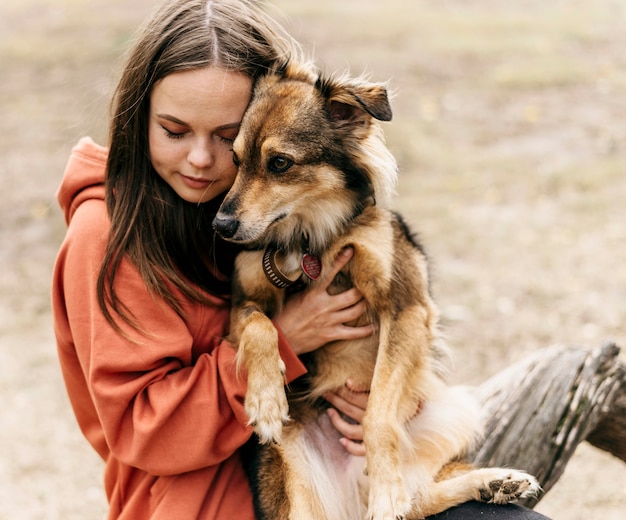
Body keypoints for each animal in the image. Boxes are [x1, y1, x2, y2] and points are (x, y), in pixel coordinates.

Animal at [211, 64, 536, 520]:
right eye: (236, 160)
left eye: (279, 163)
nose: (220, 227)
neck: (312, 237)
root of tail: (350, 500)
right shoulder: (243, 305)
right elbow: (261, 327)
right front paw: (266, 401)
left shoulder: (406, 308)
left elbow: (378, 415)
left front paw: (386, 491)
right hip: (296, 483)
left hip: (459, 408)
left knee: (417, 498)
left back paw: (493, 483)